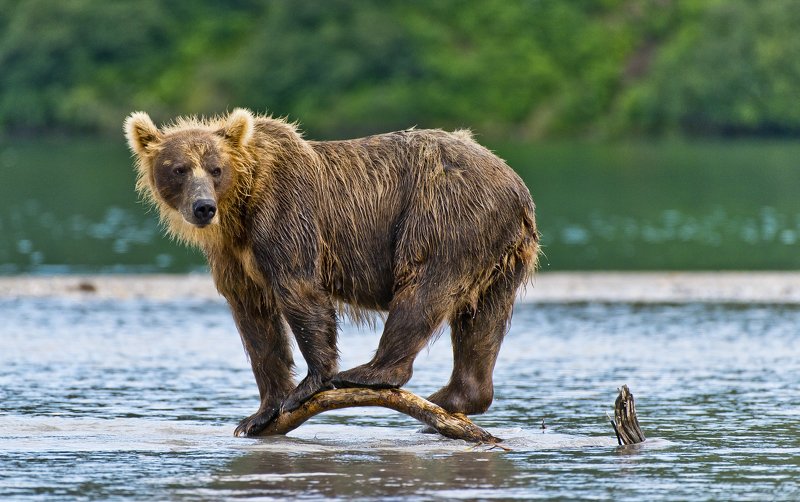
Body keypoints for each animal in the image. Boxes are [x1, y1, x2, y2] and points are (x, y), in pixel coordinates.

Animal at [124, 109, 538, 437]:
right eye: (179, 169)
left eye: (215, 168)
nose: (203, 207)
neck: (240, 209)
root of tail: (516, 183)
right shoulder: (233, 257)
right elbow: (255, 322)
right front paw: (259, 414)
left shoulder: (286, 216)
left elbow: (299, 291)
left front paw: (308, 385)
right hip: (500, 251)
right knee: (481, 319)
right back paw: (454, 398)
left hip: (445, 211)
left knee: (424, 286)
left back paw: (371, 372)